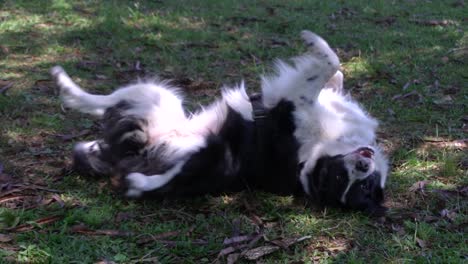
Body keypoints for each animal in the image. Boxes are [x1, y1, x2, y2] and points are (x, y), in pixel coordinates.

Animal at [50, 31, 388, 217]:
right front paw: (330, 70)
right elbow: (335, 70)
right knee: (104, 106)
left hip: (189, 136)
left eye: (358, 186)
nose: (363, 166)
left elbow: (330, 61)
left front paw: (314, 43)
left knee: (145, 177)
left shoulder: (293, 101)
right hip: (159, 97)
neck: (318, 150)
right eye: (340, 178)